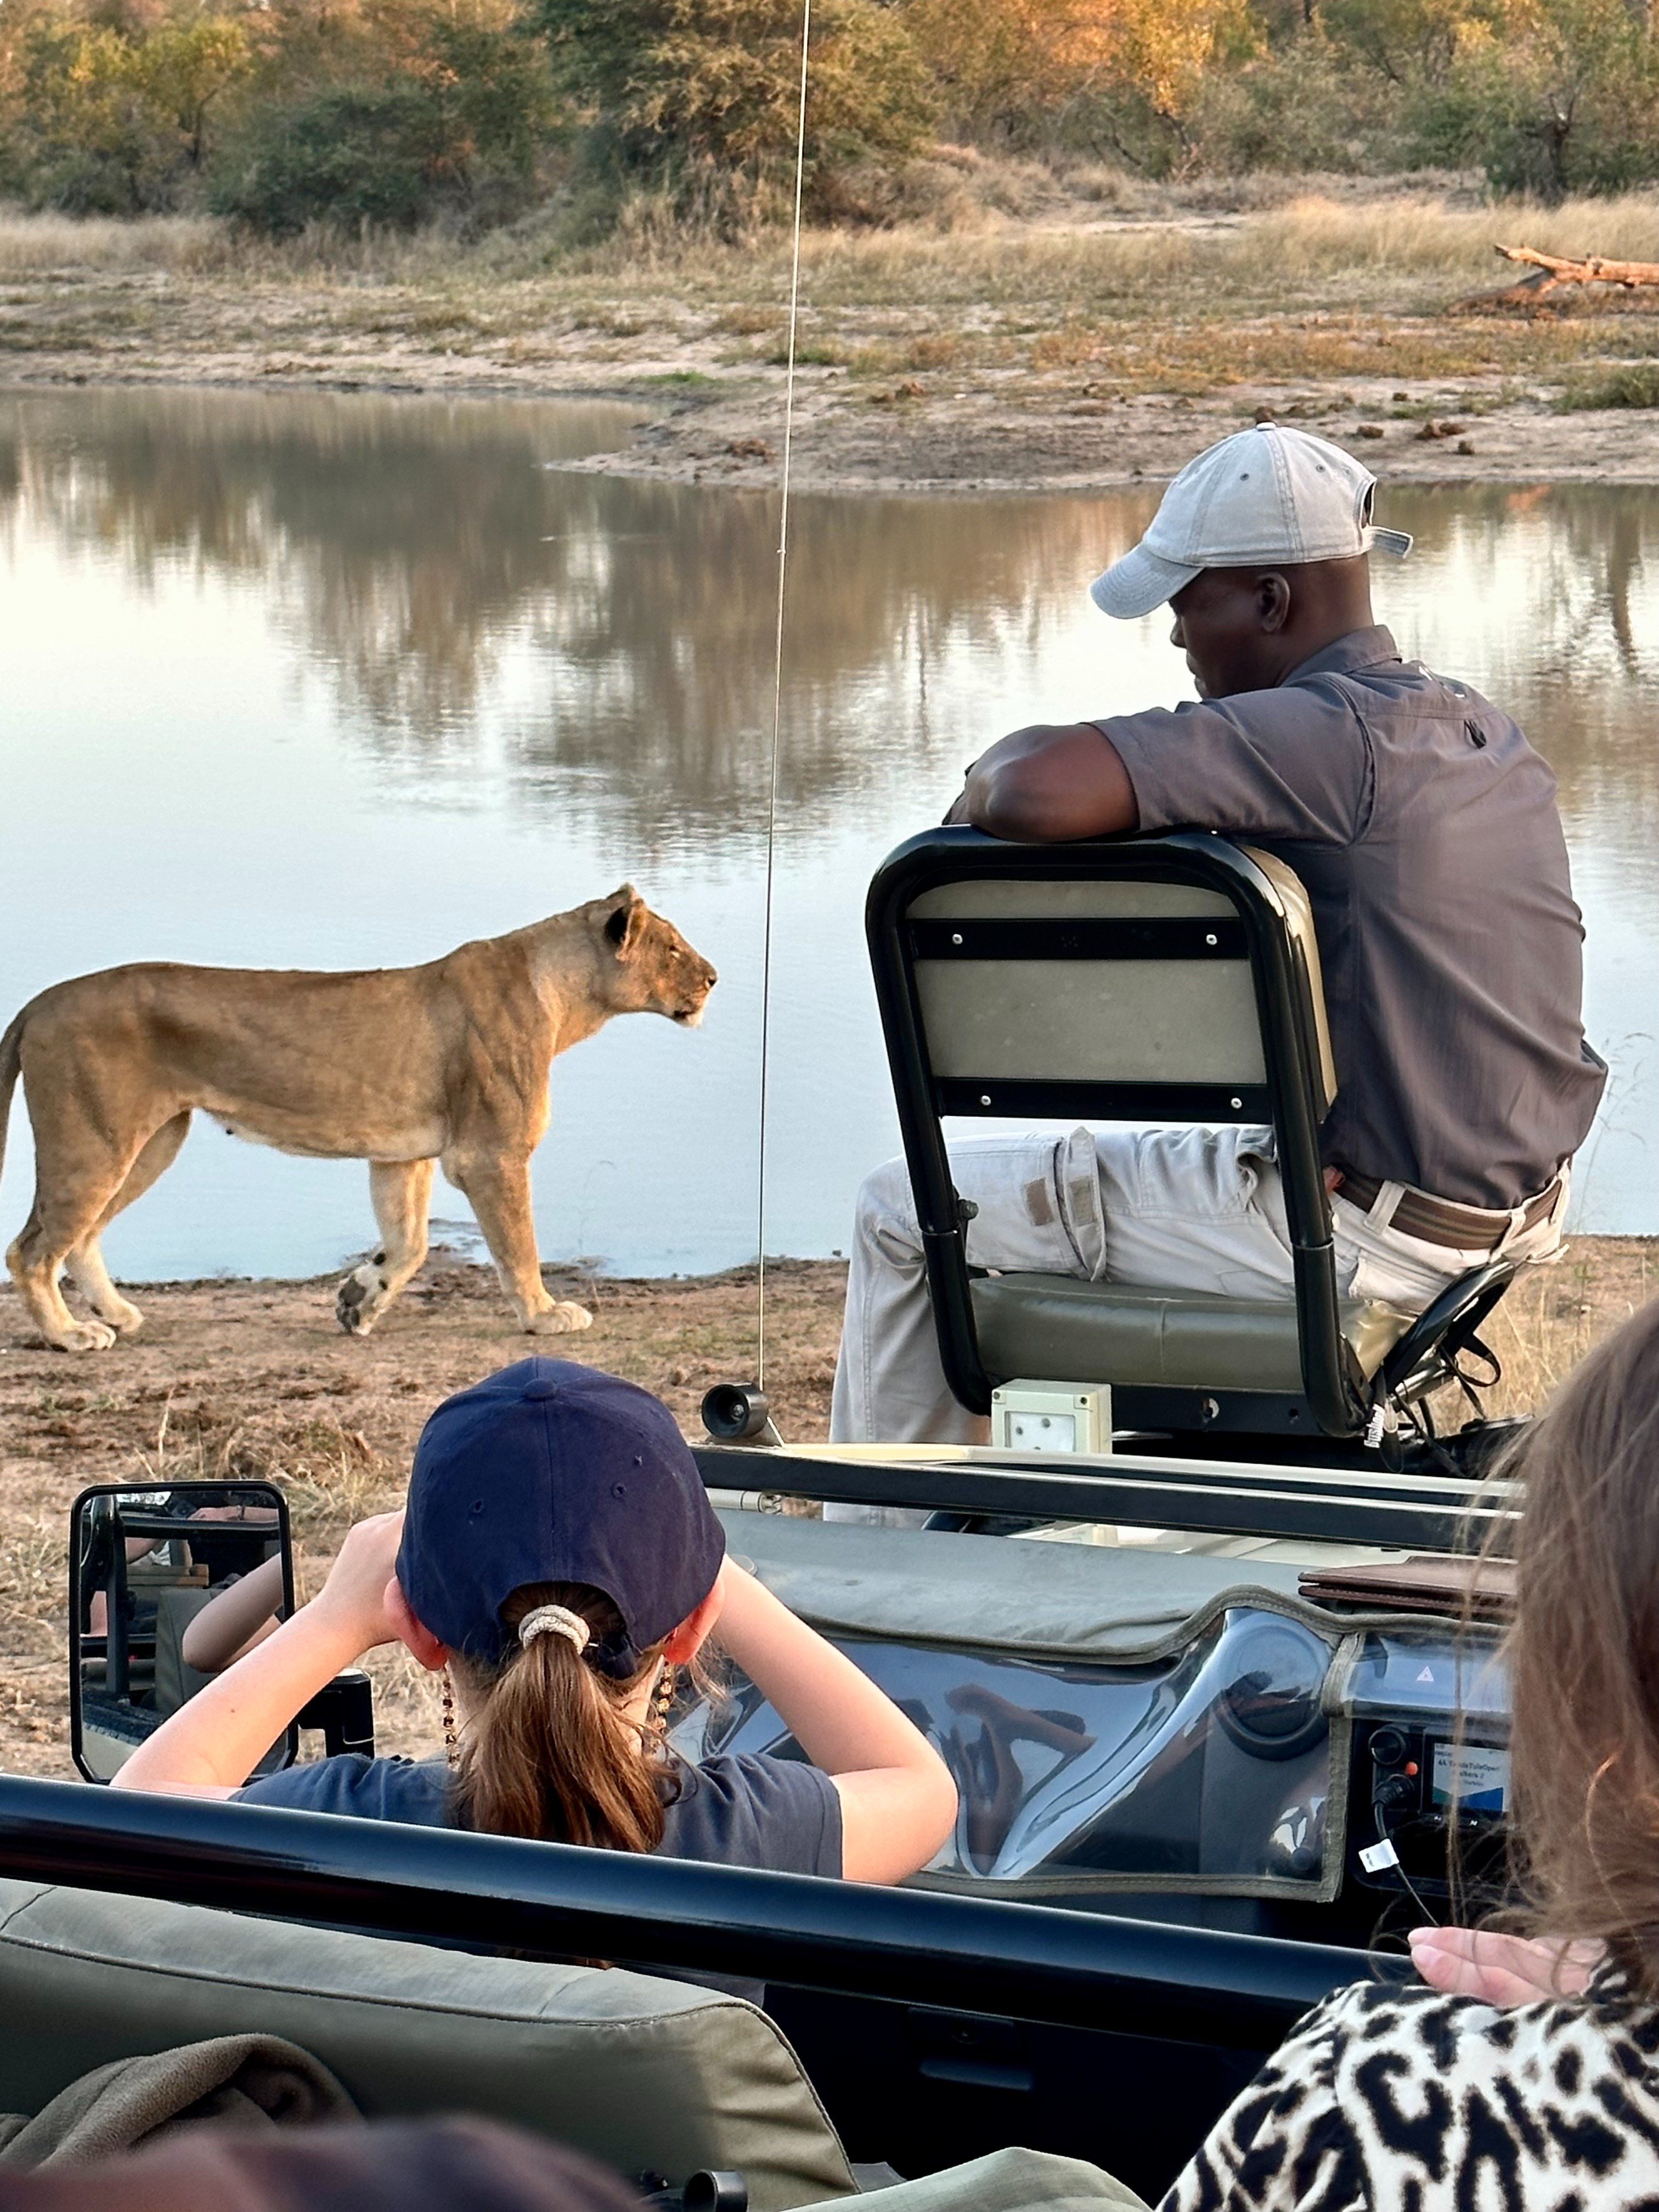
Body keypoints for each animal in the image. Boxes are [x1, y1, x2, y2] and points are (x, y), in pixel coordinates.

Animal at [0, 886, 716, 1353]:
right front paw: (544, 1315)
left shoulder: (403, 1155)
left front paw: (358, 1302)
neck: (563, 994)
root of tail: (40, 1002)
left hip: (150, 1142)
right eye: (674, 950)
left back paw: (118, 1315)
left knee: (81, 1237)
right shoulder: (491, 1154)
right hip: (93, 1140)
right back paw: (71, 1334)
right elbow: (519, 1244)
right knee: (31, 1249)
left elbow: (410, 1242)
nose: (714, 977)